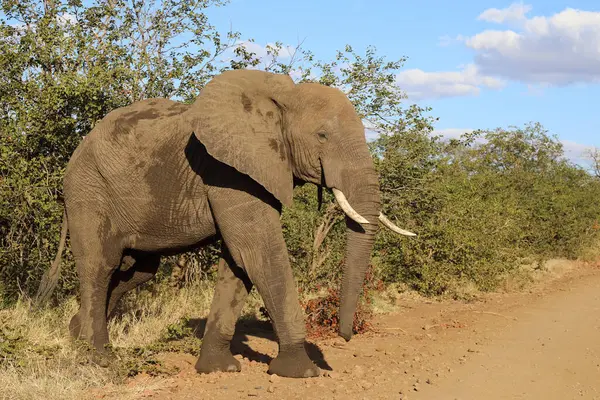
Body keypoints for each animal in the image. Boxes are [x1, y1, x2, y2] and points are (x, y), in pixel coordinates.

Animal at [44, 69, 414, 378]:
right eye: (322, 135)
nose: (344, 335)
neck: (281, 99)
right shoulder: (226, 169)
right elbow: (257, 250)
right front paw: (302, 372)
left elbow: (238, 263)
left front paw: (218, 369)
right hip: (89, 190)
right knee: (100, 266)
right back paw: (98, 357)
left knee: (137, 270)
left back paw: (75, 332)